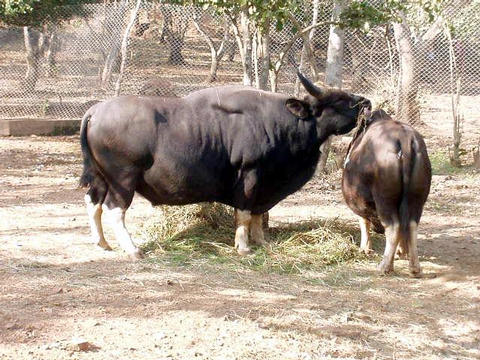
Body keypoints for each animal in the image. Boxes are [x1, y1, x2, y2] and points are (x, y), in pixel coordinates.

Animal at [79, 73, 372, 258]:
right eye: (339, 100)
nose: (367, 102)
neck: (280, 123)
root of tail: (94, 111)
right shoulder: (251, 175)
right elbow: (244, 213)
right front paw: (243, 247)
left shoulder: (266, 185)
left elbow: (258, 214)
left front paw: (262, 242)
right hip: (123, 180)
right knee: (114, 209)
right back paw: (132, 249)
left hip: (100, 177)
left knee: (93, 202)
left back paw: (102, 242)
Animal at [342, 108, 432, 278]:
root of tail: (405, 139)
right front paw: (401, 251)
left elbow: (364, 222)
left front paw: (365, 248)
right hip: (417, 198)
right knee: (410, 225)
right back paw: (414, 267)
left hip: (384, 199)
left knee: (393, 226)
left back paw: (385, 266)